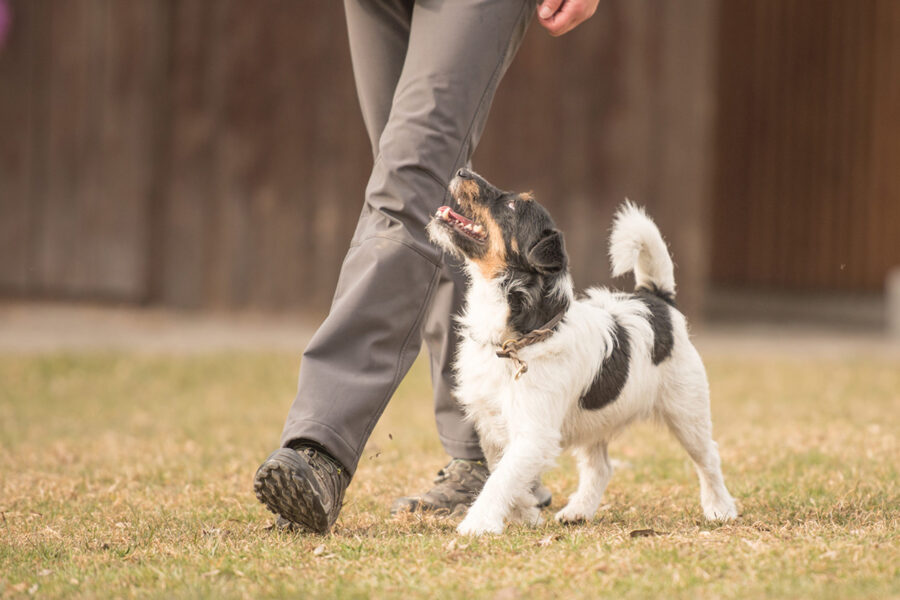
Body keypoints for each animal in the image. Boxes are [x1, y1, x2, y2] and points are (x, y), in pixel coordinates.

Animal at [428, 168, 740, 536]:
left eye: (513, 205)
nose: (462, 170)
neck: (519, 338)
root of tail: (657, 299)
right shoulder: (492, 424)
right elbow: (501, 469)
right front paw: (525, 513)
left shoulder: (534, 433)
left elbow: (501, 478)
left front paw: (478, 523)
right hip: (596, 420)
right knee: (601, 467)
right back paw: (578, 511)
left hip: (687, 412)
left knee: (708, 458)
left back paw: (720, 508)